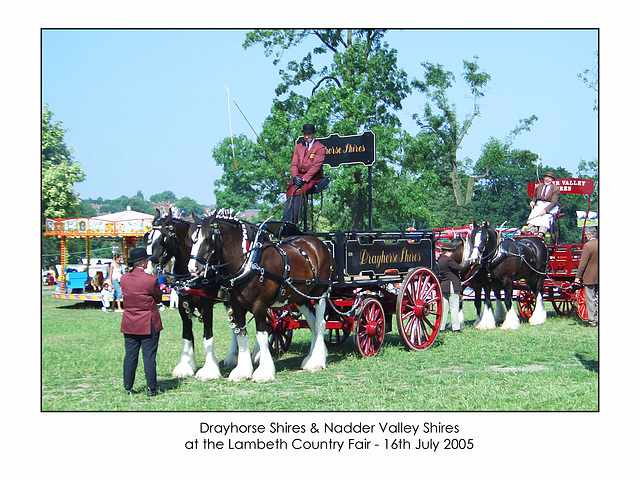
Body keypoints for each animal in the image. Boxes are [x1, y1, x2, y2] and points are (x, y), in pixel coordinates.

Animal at [145, 208, 222, 380]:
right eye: (148, 238)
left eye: (163, 239)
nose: (150, 269)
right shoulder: (182, 304)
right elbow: (187, 335)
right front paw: (185, 366)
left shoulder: (206, 306)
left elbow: (208, 337)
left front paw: (209, 370)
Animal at [188, 210, 332, 382]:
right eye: (192, 239)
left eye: (209, 239)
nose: (193, 268)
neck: (249, 263)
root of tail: (317, 242)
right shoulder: (236, 307)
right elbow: (242, 336)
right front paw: (242, 371)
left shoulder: (259, 306)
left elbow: (262, 336)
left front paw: (264, 372)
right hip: (301, 298)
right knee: (312, 322)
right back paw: (311, 358)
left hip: (320, 294)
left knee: (320, 323)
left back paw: (317, 361)